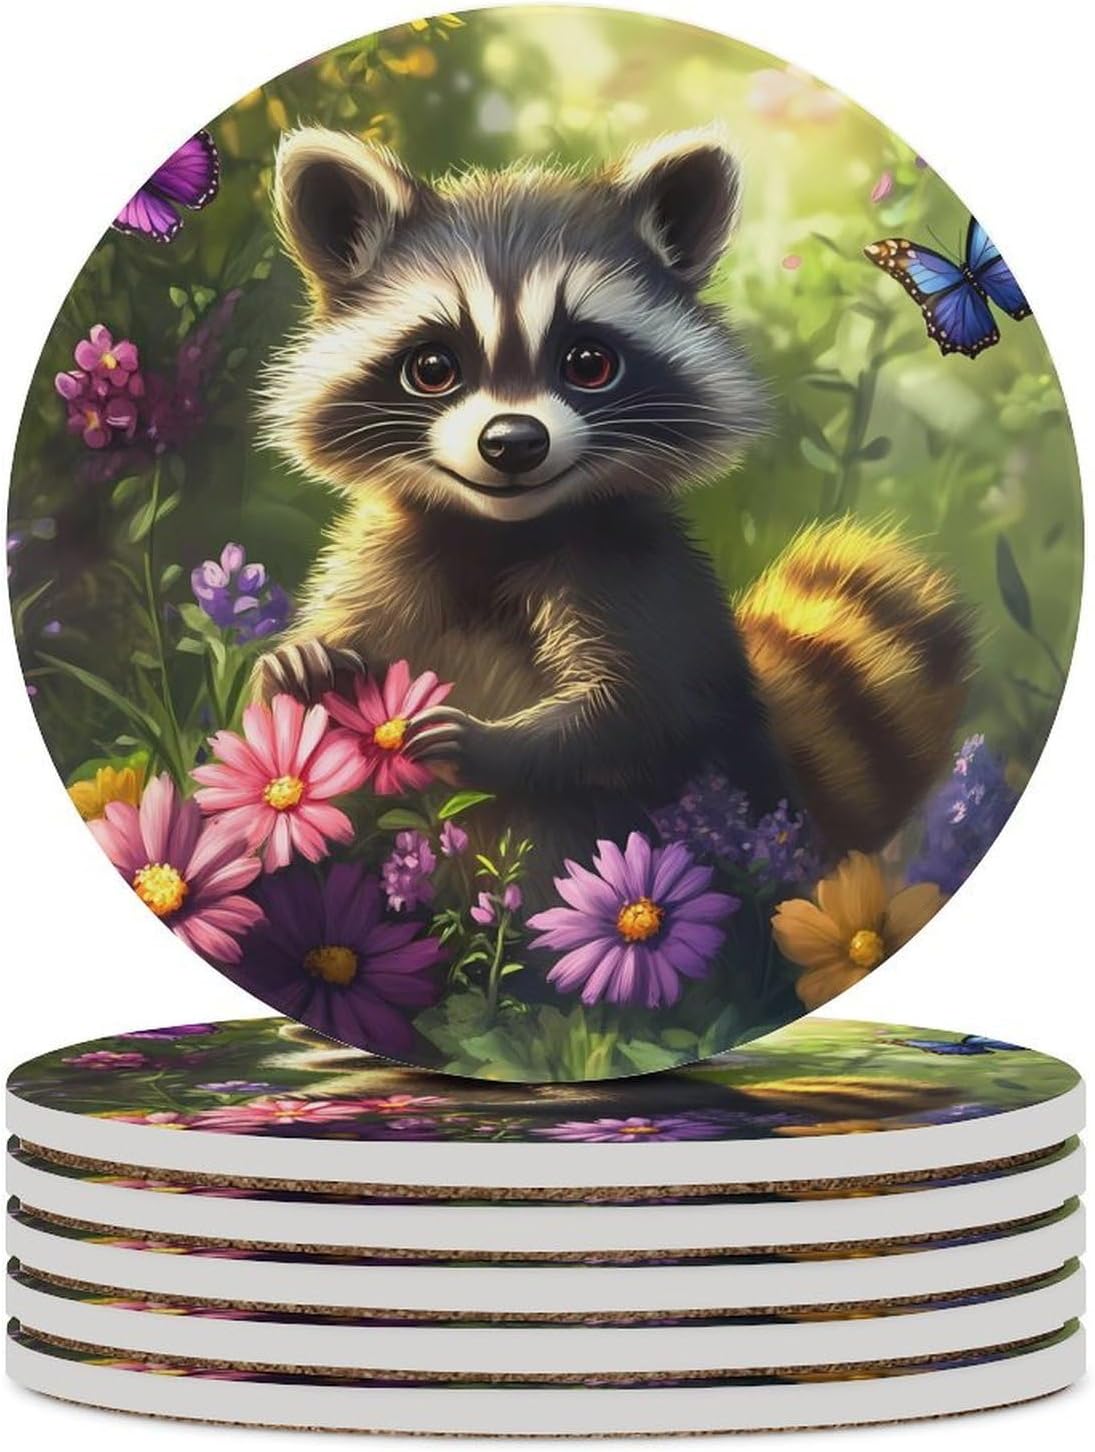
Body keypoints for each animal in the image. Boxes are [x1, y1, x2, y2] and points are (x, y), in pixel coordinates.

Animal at [258, 126, 970, 903]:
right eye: (433, 368)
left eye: (589, 363)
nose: (513, 442)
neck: (500, 530)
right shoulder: (386, 558)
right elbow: (339, 632)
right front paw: (299, 663)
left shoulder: (635, 574)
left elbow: (637, 712)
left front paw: (493, 741)